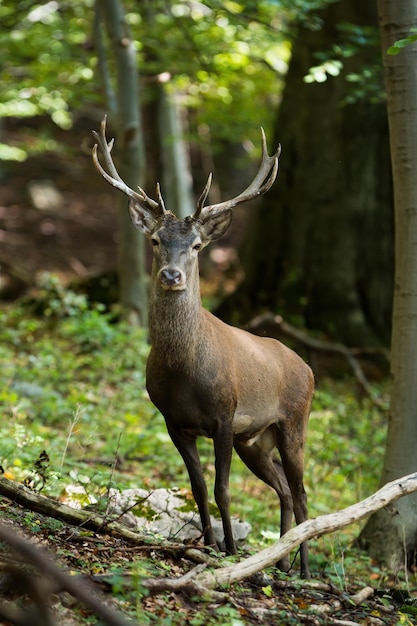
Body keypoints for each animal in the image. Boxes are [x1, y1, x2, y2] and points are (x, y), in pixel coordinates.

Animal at [91, 117, 312, 576]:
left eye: (196, 246)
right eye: (156, 240)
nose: (172, 275)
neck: (183, 375)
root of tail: (308, 367)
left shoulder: (224, 416)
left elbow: (223, 488)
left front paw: (227, 551)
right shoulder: (173, 421)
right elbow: (196, 488)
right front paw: (208, 545)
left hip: (293, 421)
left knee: (301, 493)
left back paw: (302, 570)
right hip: (255, 440)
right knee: (283, 488)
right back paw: (279, 562)